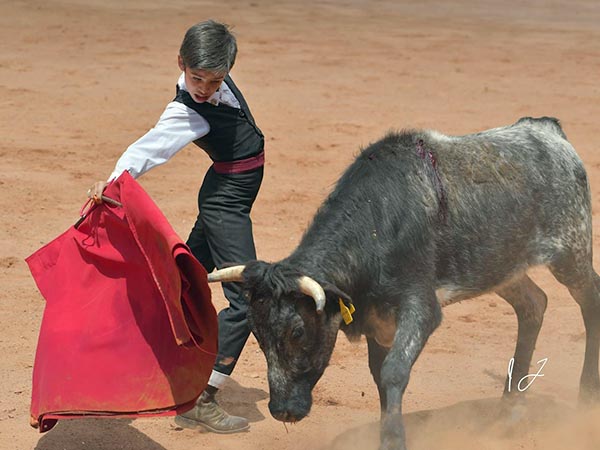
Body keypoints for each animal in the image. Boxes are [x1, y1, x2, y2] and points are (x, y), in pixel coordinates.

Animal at [207, 117, 600, 450]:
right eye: (258, 335)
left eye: (298, 331)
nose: (282, 410)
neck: (380, 222)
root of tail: (546, 129)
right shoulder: (374, 319)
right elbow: (379, 375)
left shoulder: (421, 308)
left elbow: (394, 371)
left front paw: (394, 440)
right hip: (500, 268)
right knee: (533, 304)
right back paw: (509, 411)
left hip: (571, 251)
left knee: (589, 301)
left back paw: (586, 398)